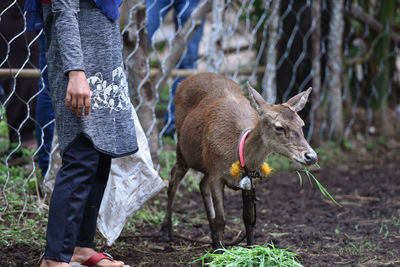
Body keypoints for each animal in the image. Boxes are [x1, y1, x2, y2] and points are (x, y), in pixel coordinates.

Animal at [161, 71, 318, 249]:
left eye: (302, 124)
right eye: (279, 126)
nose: (311, 156)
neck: (236, 152)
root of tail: (186, 79)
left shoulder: (250, 178)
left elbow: (248, 218)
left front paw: (249, 248)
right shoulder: (216, 174)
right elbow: (221, 219)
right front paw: (219, 251)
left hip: (205, 163)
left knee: (201, 184)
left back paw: (213, 238)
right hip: (182, 147)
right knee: (173, 179)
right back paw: (166, 232)